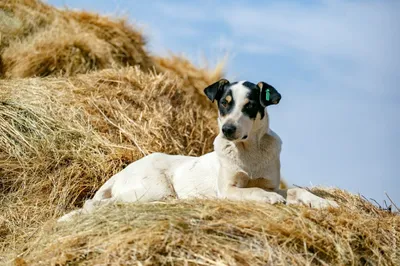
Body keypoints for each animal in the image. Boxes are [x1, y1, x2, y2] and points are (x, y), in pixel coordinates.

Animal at [57, 79, 336, 222]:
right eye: (224, 104)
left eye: (249, 106)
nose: (227, 129)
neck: (249, 151)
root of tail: (121, 172)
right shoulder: (227, 190)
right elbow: (253, 191)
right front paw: (268, 199)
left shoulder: (272, 183)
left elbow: (296, 190)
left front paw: (323, 201)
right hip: (155, 188)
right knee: (97, 204)